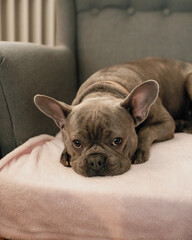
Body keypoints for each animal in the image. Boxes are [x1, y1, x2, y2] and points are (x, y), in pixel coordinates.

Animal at [34, 57, 192, 176]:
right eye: (76, 143)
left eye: (117, 141)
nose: (95, 160)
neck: (104, 89)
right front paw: (66, 153)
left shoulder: (166, 122)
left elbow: (146, 130)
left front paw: (138, 150)